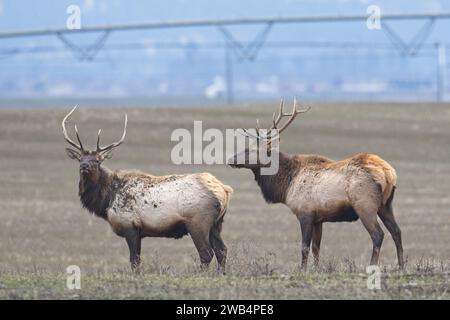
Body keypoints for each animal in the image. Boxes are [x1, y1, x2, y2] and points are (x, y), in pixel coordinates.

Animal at [62, 106, 234, 272]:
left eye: (97, 160)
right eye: (80, 159)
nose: (84, 166)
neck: (107, 200)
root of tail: (224, 190)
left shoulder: (130, 227)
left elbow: (134, 261)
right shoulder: (139, 232)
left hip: (198, 222)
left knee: (207, 253)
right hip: (216, 224)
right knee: (222, 250)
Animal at [229, 100, 404, 270]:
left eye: (251, 150)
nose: (231, 159)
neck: (286, 186)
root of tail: (388, 173)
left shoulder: (305, 213)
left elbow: (305, 247)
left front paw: (302, 270)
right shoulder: (318, 218)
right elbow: (316, 248)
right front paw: (317, 269)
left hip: (365, 205)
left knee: (378, 234)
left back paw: (372, 266)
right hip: (386, 205)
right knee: (397, 231)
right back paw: (401, 266)